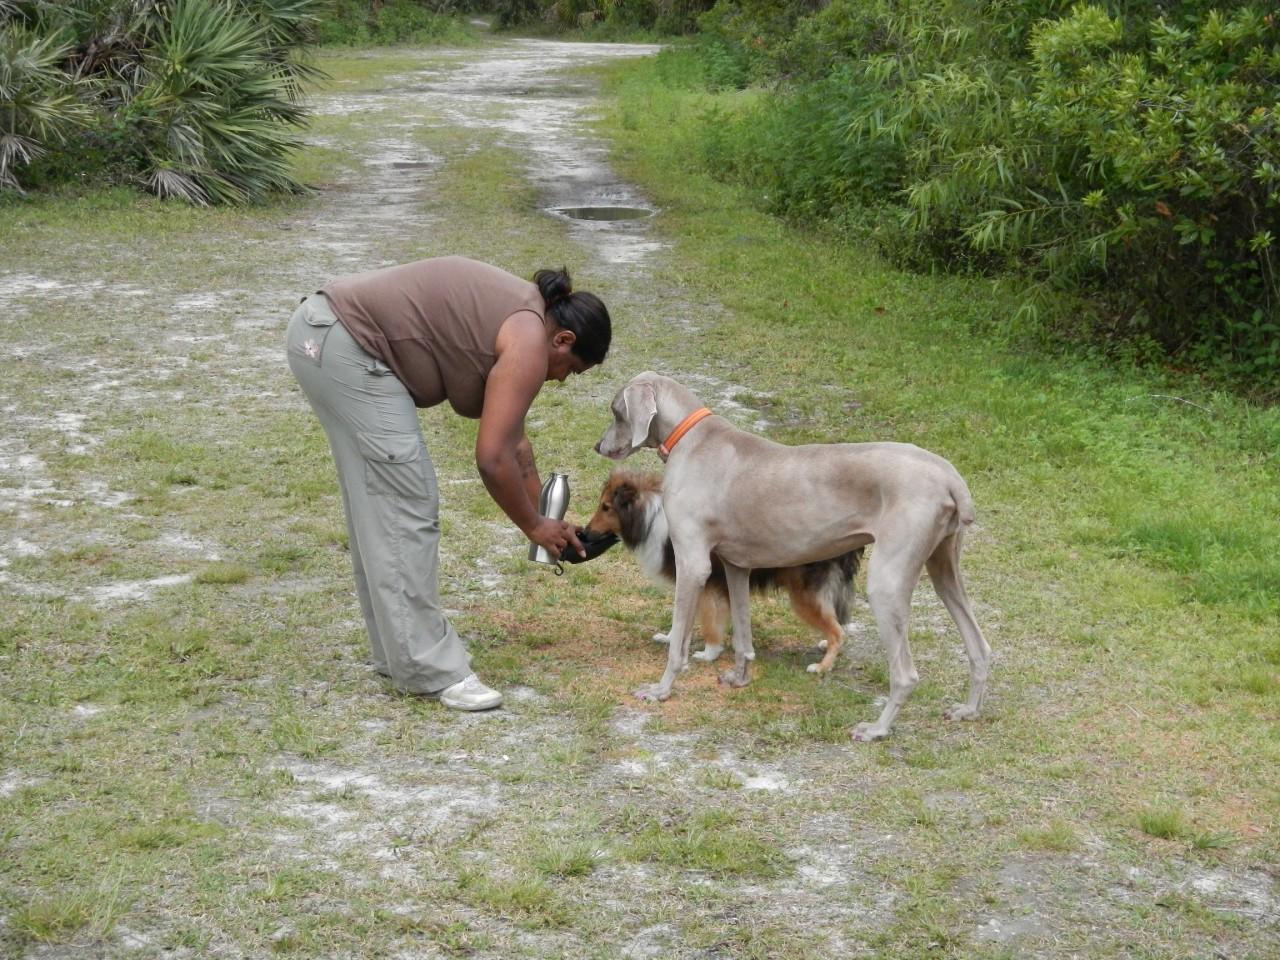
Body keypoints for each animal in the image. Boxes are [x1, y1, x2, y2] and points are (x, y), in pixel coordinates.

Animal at [586, 471, 865, 670]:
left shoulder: (706, 586)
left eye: (606, 507)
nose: (584, 533)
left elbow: (709, 624)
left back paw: (822, 666)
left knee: (838, 631)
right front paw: (672, 640)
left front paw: (709, 654)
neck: (652, 517)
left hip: (803, 596)